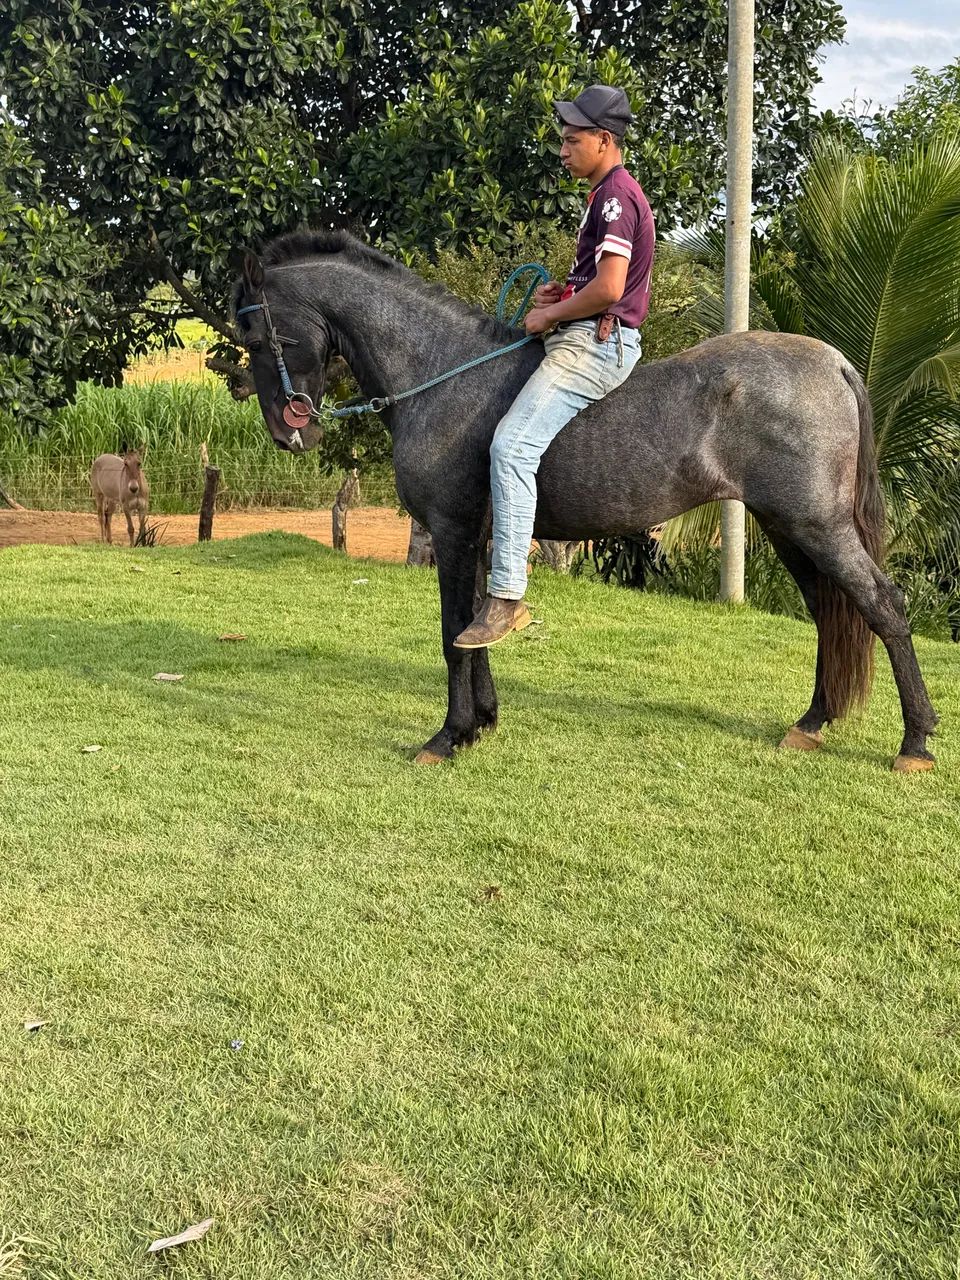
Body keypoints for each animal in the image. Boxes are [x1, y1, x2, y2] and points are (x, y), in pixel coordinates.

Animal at [233, 231, 938, 773]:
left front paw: (449, 736)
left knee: (882, 605)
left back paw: (916, 741)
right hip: (787, 526)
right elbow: (479, 628)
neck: (444, 374)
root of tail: (835, 364)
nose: (288, 431)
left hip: (817, 525)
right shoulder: (484, 536)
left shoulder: (453, 532)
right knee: (827, 610)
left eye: (257, 335)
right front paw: (483, 721)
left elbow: (453, 633)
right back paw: (813, 721)